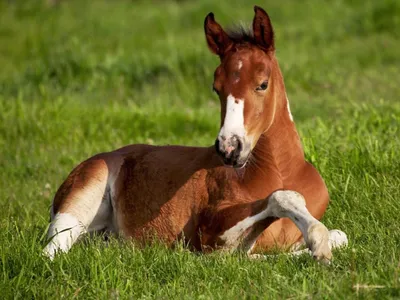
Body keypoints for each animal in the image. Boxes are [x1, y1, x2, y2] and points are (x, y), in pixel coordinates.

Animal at [43, 5, 346, 262]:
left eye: (262, 84)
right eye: (216, 88)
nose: (229, 147)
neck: (281, 171)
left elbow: (340, 235)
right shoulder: (211, 232)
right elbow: (279, 201)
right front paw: (318, 243)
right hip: (79, 200)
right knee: (51, 251)